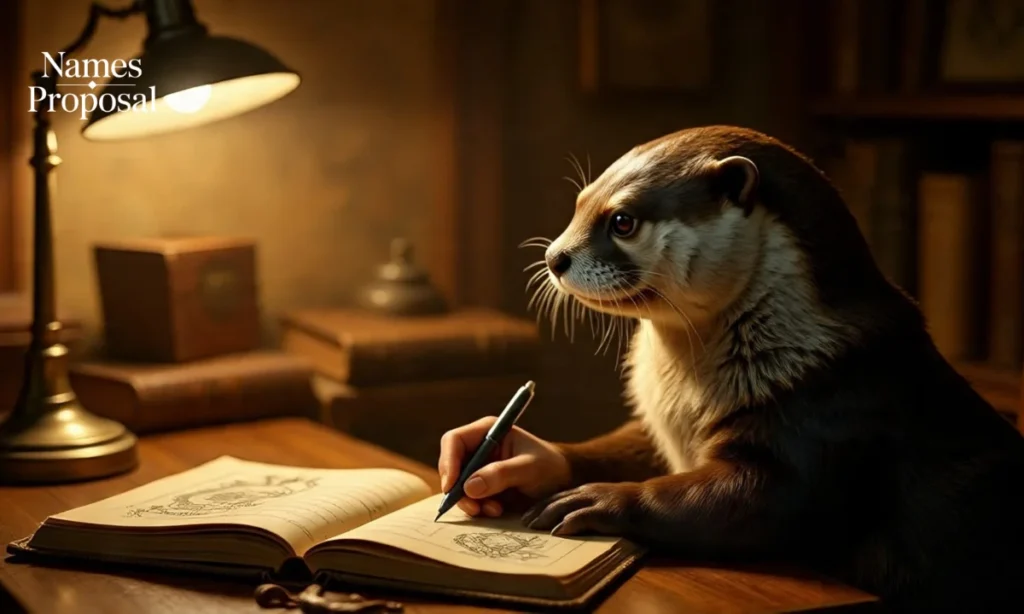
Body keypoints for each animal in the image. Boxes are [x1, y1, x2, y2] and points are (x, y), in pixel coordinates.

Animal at [519, 126, 1024, 612]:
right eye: (579, 205)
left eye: (622, 221)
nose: (554, 257)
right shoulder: (664, 429)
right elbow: (630, 444)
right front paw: (529, 458)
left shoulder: (826, 417)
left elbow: (751, 499)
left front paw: (600, 497)